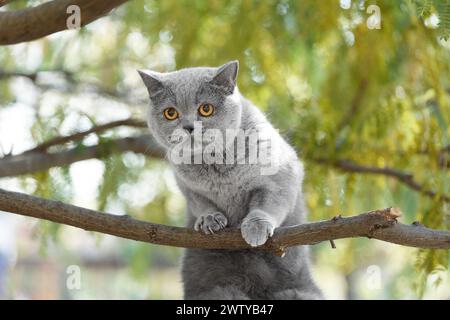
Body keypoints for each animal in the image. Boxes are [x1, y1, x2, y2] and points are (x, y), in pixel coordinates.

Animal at [138, 60, 324, 300]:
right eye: (170, 113)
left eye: (206, 109)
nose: (189, 127)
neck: (217, 166)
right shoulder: (188, 188)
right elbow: (201, 204)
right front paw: (209, 219)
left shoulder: (281, 177)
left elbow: (269, 203)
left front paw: (255, 227)